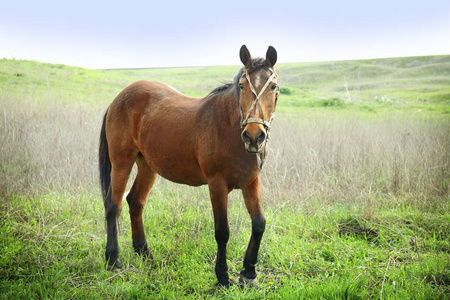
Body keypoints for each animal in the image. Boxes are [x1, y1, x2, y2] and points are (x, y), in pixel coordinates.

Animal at [99, 44, 278, 286]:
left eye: (273, 86)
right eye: (242, 86)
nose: (253, 136)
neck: (228, 128)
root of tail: (118, 98)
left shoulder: (251, 181)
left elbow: (259, 223)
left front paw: (249, 272)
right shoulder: (217, 185)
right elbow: (222, 232)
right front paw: (223, 277)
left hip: (147, 166)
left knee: (135, 201)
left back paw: (144, 253)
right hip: (121, 162)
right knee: (113, 205)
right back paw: (112, 259)